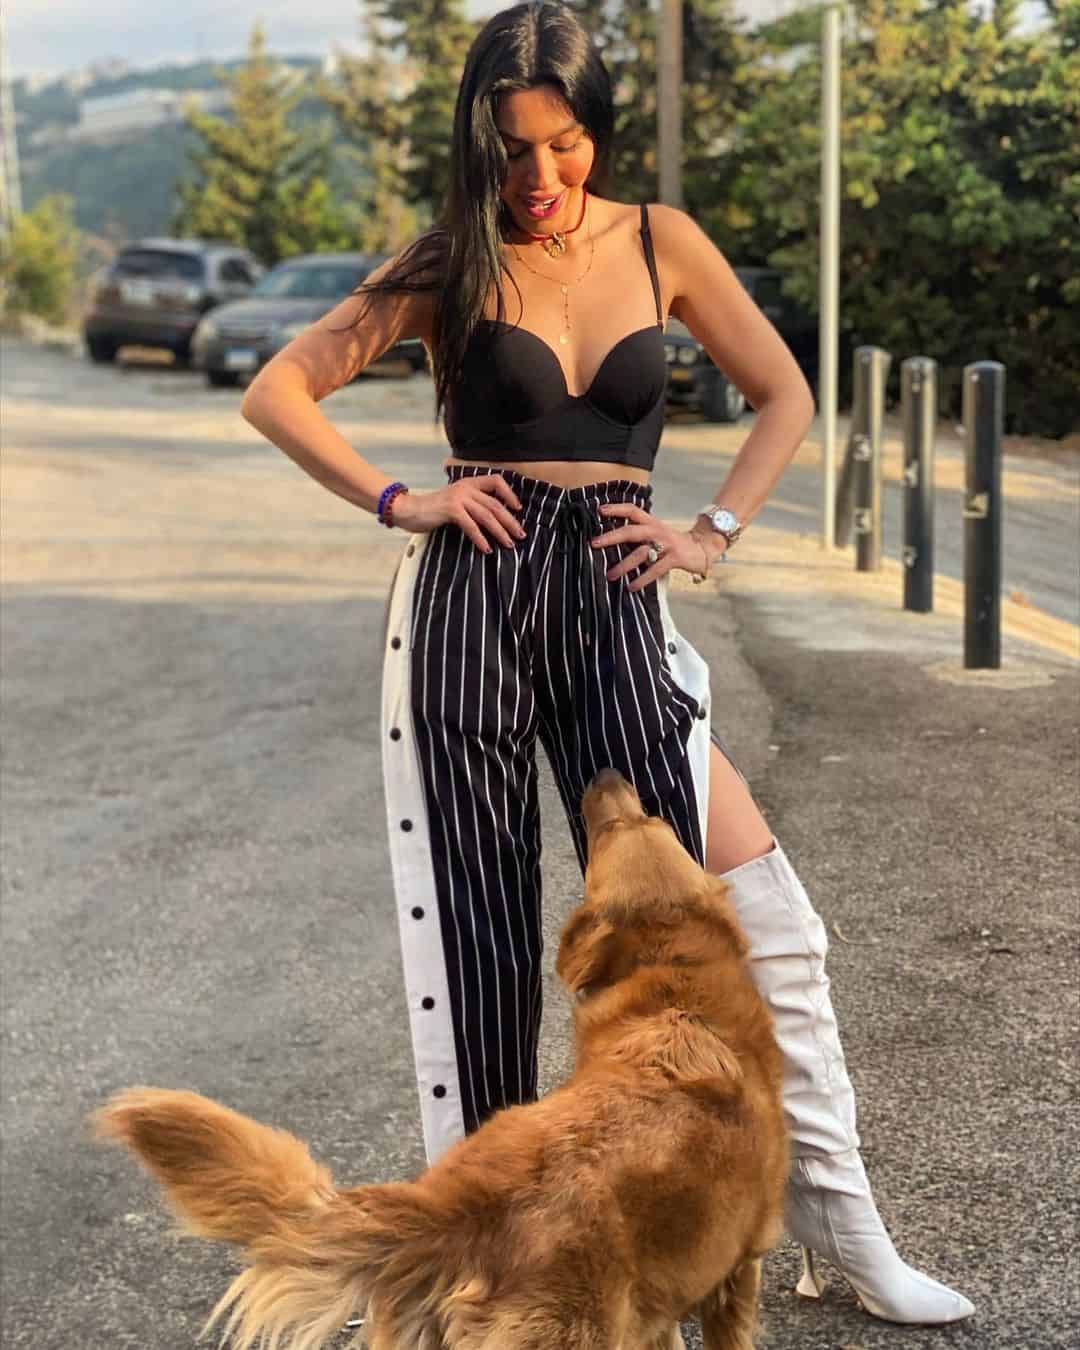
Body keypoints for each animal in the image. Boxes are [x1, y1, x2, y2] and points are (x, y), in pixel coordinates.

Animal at [94, 769, 787, 1349]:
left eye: (647, 820)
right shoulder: (737, 1274)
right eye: (614, 830)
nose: (605, 775)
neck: (676, 987)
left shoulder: (660, 1299)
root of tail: (460, 1204)